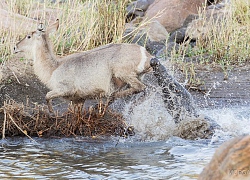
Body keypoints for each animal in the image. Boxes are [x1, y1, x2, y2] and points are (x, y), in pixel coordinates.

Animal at [15, 20, 154, 112]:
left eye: (28, 36)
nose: (15, 47)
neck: (53, 68)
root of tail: (146, 54)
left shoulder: (64, 89)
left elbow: (47, 96)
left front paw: (52, 113)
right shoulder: (79, 99)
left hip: (122, 72)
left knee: (141, 88)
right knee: (142, 90)